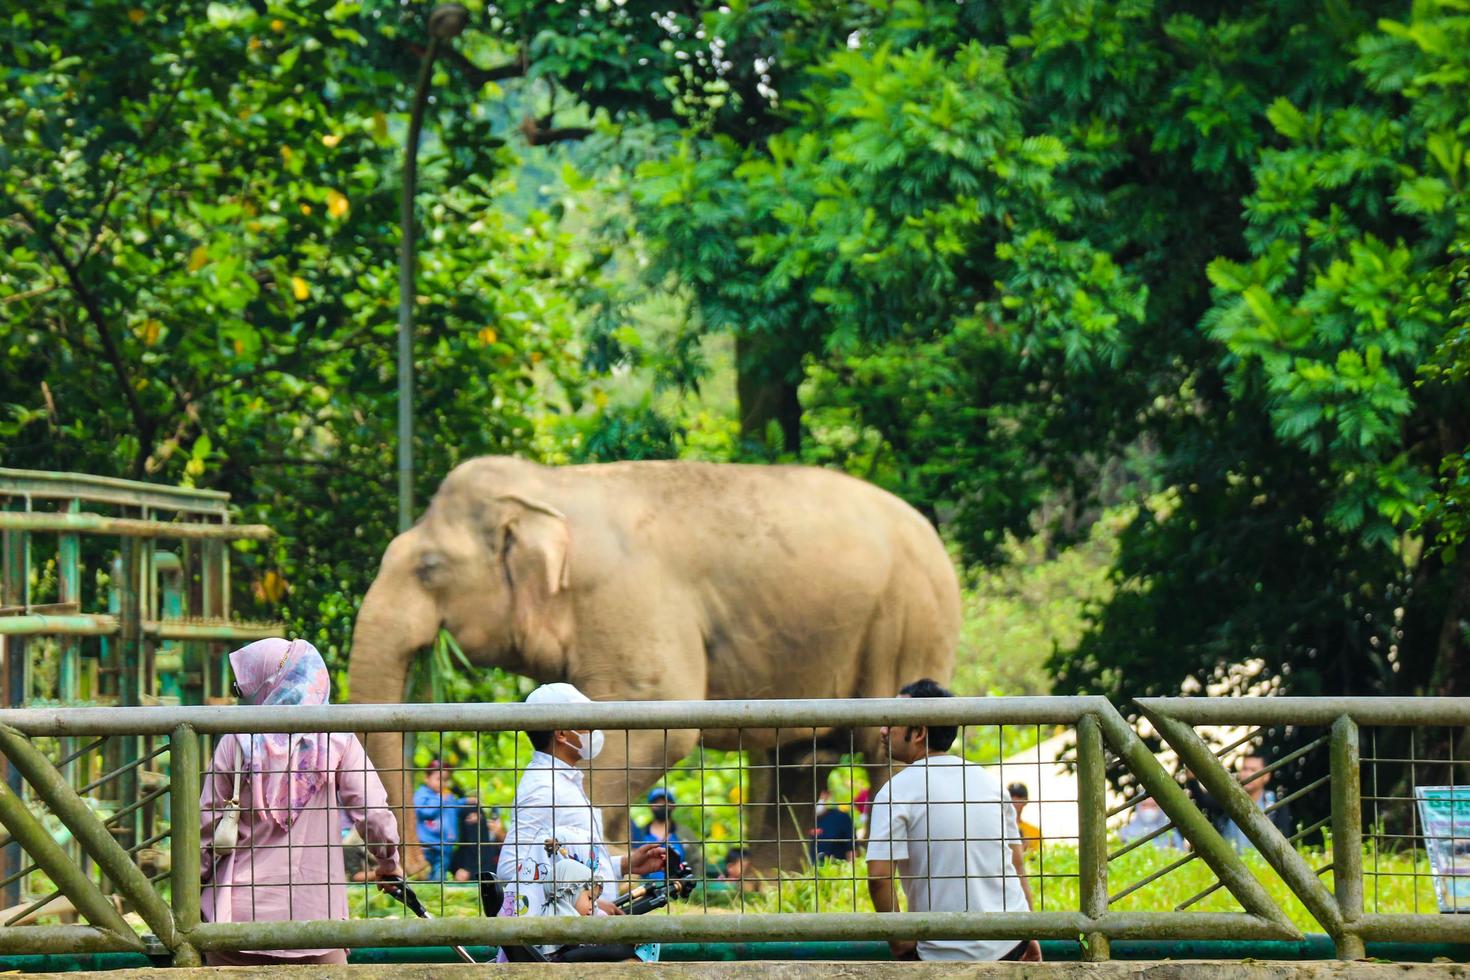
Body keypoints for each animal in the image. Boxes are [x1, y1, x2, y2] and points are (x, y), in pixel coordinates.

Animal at [348, 455, 958, 869]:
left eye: (429, 567)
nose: (413, 867)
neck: (550, 487)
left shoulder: (628, 599)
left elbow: (653, 727)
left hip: (909, 622)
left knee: (881, 748)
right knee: (800, 759)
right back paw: (767, 894)